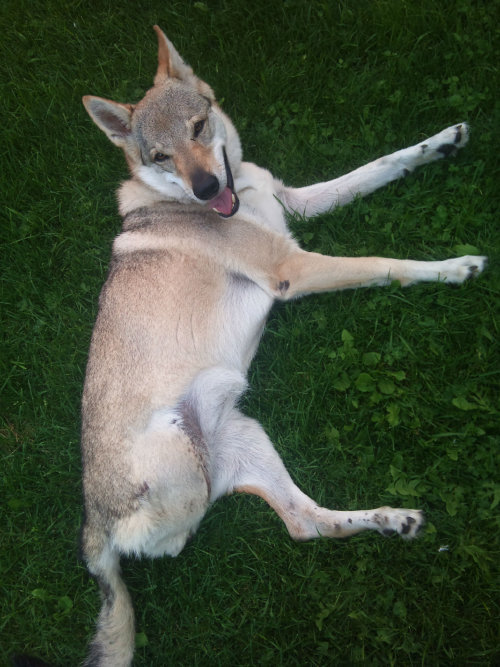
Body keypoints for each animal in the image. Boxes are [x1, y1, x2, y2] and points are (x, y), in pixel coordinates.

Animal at [80, 25, 486, 666]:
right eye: (159, 158)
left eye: (198, 127)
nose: (205, 188)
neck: (234, 191)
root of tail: (91, 531)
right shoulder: (293, 268)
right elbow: (386, 264)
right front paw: (455, 268)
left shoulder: (298, 201)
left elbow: (377, 166)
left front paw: (443, 142)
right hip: (182, 444)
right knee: (214, 531)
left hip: (249, 439)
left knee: (306, 524)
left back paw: (393, 520)